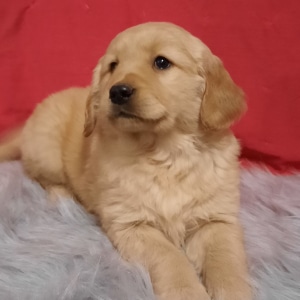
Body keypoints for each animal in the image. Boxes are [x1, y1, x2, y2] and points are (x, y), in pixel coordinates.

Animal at [0, 22, 251, 298]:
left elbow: (225, 260)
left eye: (161, 62)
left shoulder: (217, 219)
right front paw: (186, 291)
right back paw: (64, 197)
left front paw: (233, 290)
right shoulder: (132, 224)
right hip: (47, 153)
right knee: (41, 178)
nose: (118, 91)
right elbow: (170, 257)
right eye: (113, 66)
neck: (165, 153)